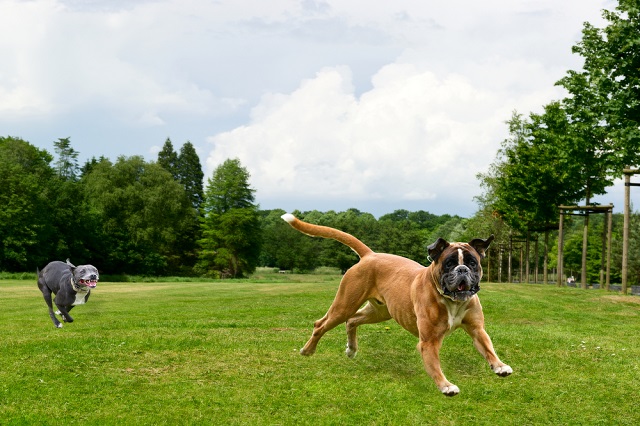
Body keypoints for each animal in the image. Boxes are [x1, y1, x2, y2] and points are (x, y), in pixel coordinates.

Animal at [280, 213, 510, 396]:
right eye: (449, 263)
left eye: (472, 263)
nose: (462, 269)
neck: (451, 301)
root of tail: (370, 255)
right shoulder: (429, 342)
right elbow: (435, 365)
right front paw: (446, 386)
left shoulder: (477, 330)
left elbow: (488, 348)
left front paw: (500, 366)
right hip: (344, 305)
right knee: (322, 324)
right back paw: (307, 351)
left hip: (379, 312)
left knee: (352, 320)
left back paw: (351, 349)